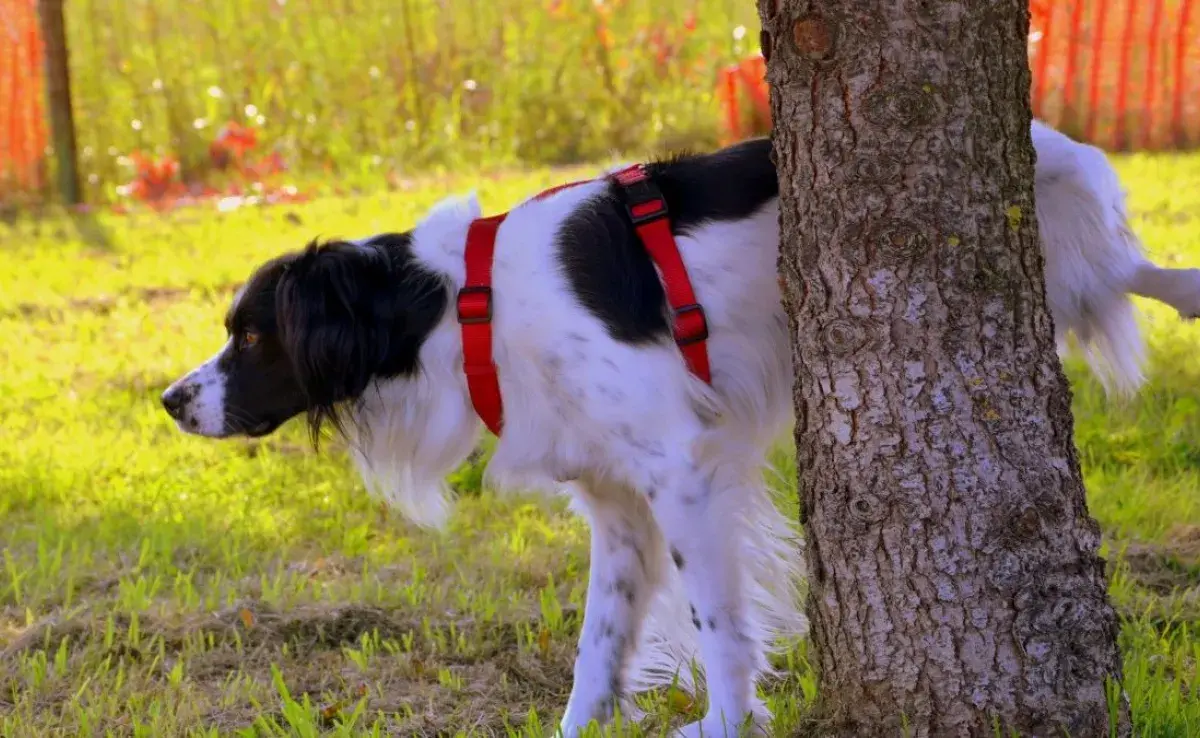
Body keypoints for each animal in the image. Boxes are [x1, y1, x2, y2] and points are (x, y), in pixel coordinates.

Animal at [159, 123, 1200, 738]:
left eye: (251, 335)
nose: (170, 400)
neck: (466, 306)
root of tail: (1039, 129)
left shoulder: (682, 472)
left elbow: (720, 629)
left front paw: (731, 722)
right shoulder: (618, 506)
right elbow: (599, 649)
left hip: (1063, 256)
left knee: (1134, 269)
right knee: (1130, 273)